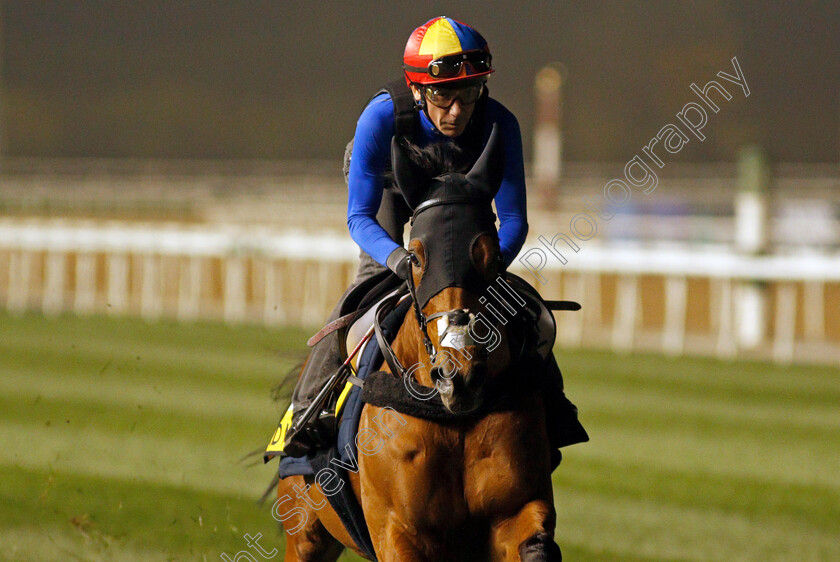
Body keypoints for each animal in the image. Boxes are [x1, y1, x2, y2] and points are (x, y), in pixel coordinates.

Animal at [276, 127, 560, 560]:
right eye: (416, 257)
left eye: (491, 256)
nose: (459, 375)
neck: (452, 418)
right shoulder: (398, 529)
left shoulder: (518, 509)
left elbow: (534, 541)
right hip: (306, 530)